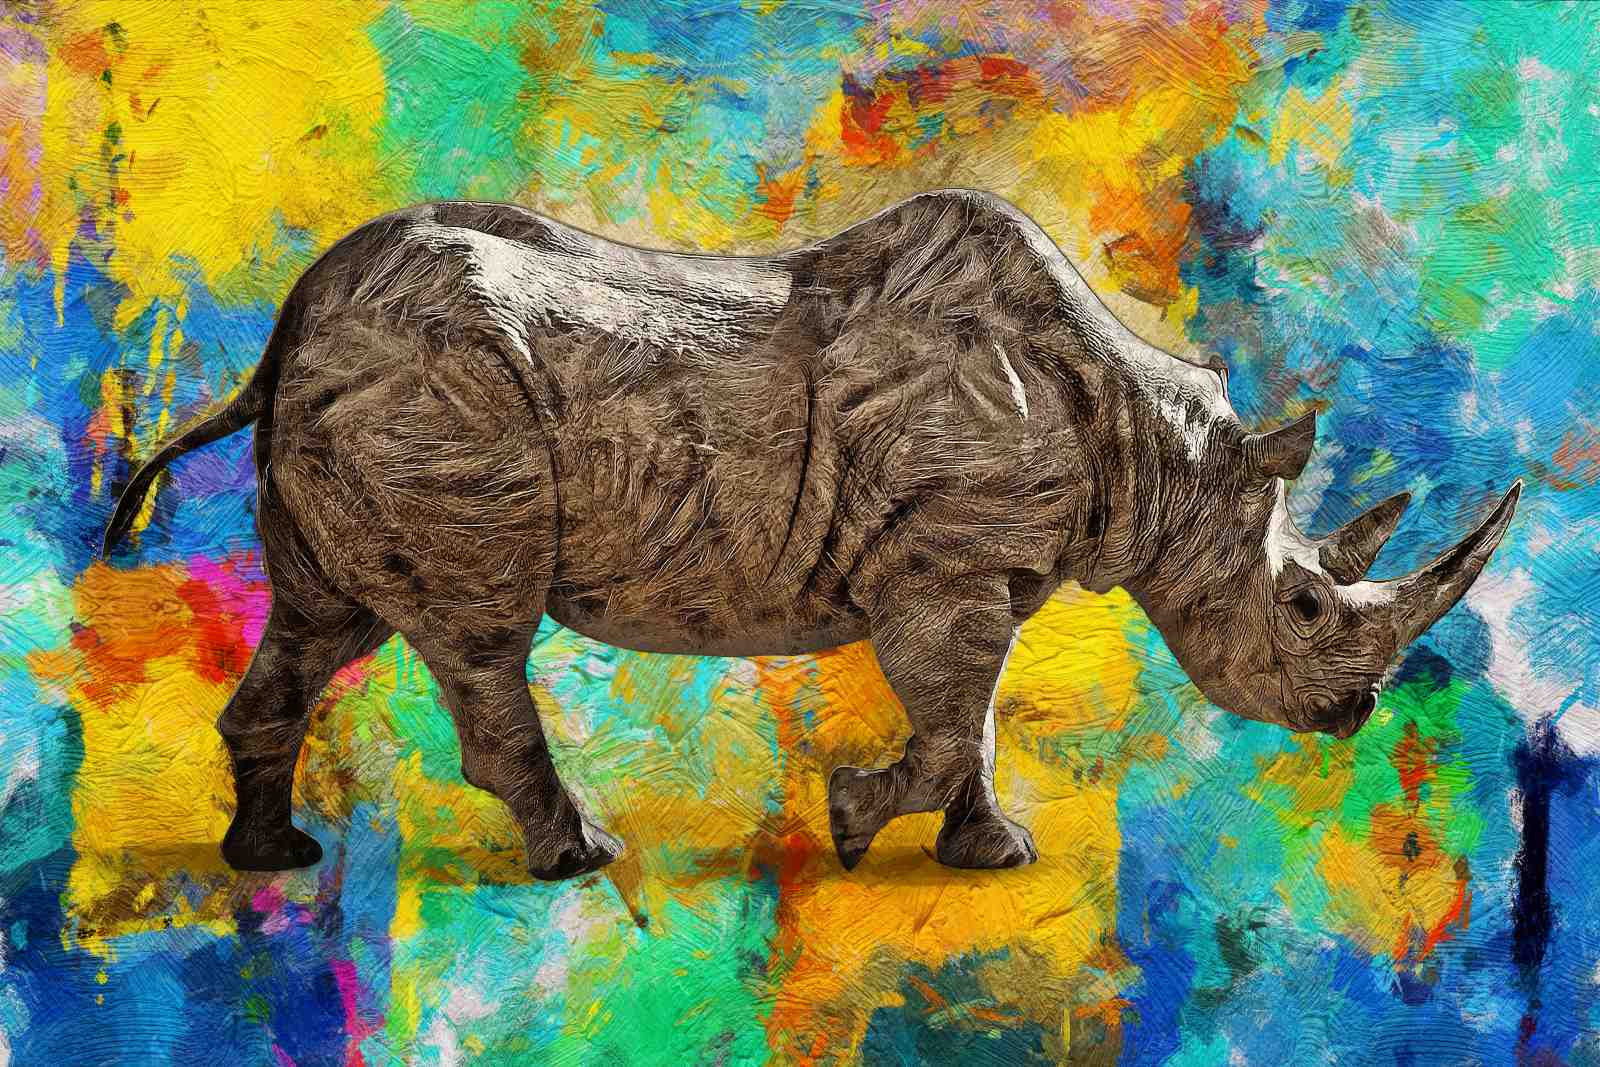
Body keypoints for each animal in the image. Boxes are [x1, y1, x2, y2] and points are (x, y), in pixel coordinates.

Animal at [102, 189, 1520, 880]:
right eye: (1303, 606)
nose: (1352, 713)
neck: (1162, 457)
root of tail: (291, 321)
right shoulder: (944, 557)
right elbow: (951, 719)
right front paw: (850, 822)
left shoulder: (970, 566)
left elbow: (973, 720)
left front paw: (987, 856)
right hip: (440, 388)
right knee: (477, 631)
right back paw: (576, 858)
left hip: (363, 387)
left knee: (319, 617)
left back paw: (271, 857)